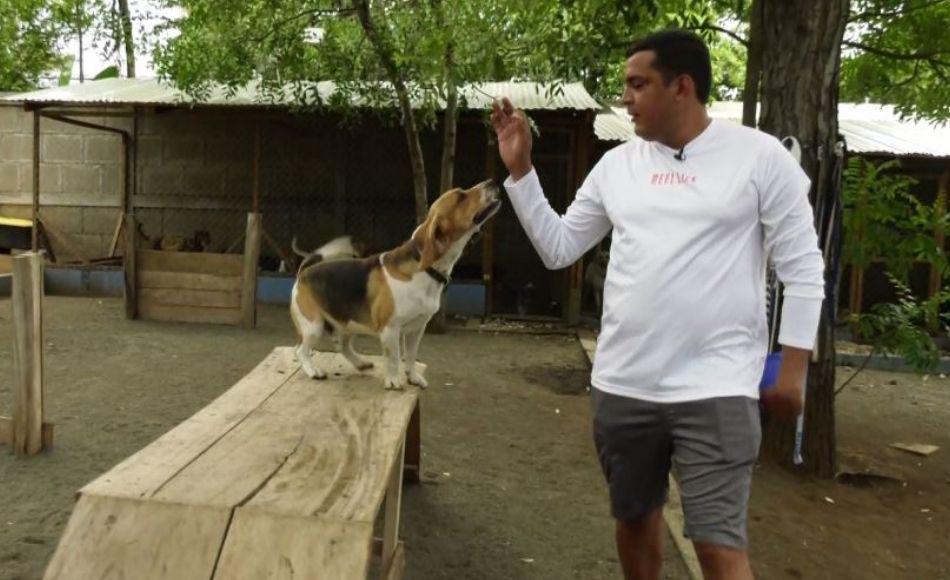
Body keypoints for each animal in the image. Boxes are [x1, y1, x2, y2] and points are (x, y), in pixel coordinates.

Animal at [290, 181, 502, 390]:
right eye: (460, 197)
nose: (492, 182)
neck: (424, 269)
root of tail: (304, 272)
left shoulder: (417, 328)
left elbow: (410, 356)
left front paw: (413, 377)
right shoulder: (390, 329)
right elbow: (393, 358)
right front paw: (393, 380)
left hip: (348, 324)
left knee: (342, 346)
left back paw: (360, 362)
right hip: (313, 326)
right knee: (301, 350)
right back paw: (313, 371)